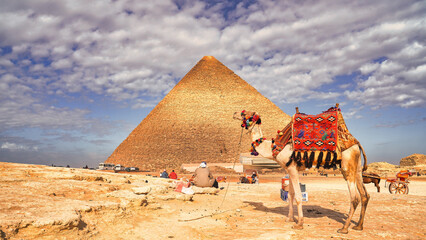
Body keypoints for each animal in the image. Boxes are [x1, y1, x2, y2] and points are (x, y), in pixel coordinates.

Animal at [233, 104, 370, 233]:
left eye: (245, 113)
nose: (234, 113)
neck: (274, 147)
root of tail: (356, 143)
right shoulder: (289, 169)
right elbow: (290, 195)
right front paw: (289, 218)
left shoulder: (293, 168)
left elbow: (298, 197)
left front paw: (299, 224)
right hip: (357, 166)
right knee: (364, 195)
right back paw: (358, 226)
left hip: (347, 165)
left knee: (355, 197)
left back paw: (344, 228)